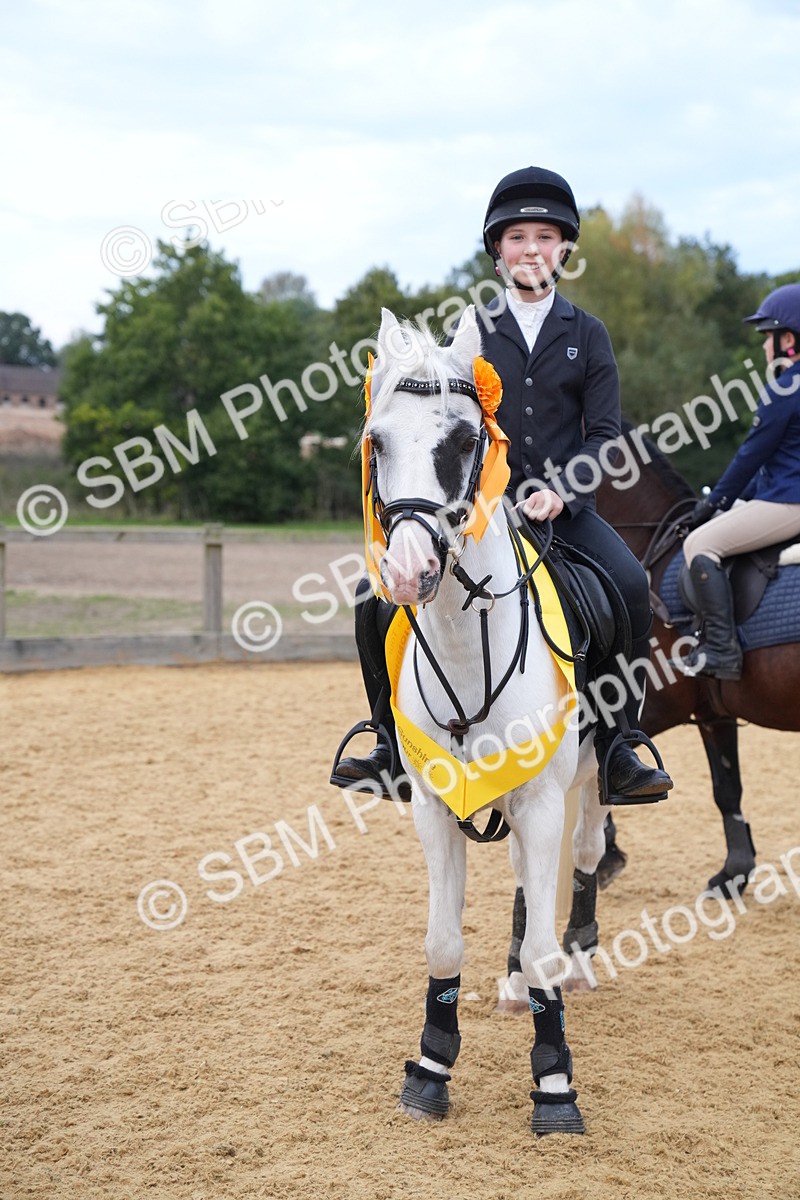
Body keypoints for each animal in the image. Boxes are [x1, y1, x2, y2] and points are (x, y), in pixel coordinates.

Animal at [361, 305, 611, 1136]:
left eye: (464, 442)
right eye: (378, 442)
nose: (408, 572)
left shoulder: (540, 798)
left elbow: (543, 949)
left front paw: (555, 1084)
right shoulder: (435, 805)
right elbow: (443, 941)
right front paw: (430, 1067)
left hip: (591, 773)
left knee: (585, 854)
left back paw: (581, 959)